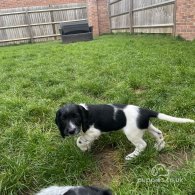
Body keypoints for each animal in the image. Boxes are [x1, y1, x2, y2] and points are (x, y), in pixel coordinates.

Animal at [55, 103, 195, 160]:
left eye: (76, 117)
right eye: (63, 119)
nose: (71, 130)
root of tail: (144, 111)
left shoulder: (94, 132)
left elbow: (79, 140)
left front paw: (84, 147)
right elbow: (84, 139)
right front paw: (87, 147)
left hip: (132, 133)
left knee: (142, 145)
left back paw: (132, 156)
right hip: (146, 126)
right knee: (159, 134)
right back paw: (159, 147)